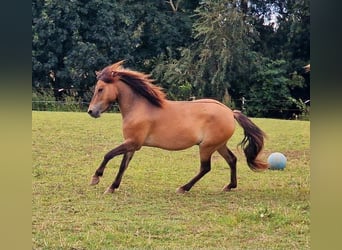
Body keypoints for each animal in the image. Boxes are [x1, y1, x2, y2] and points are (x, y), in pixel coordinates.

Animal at [87, 60, 268, 193]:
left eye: (100, 89)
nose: (91, 111)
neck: (140, 107)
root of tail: (230, 112)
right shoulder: (131, 144)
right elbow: (123, 165)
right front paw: (112, 187)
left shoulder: (133, 143)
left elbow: (108, 155)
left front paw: (96, 178)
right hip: (218, 145)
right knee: (232, 160)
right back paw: (230, 186)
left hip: (207, 147)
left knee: (206, 167)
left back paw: (183, 188)